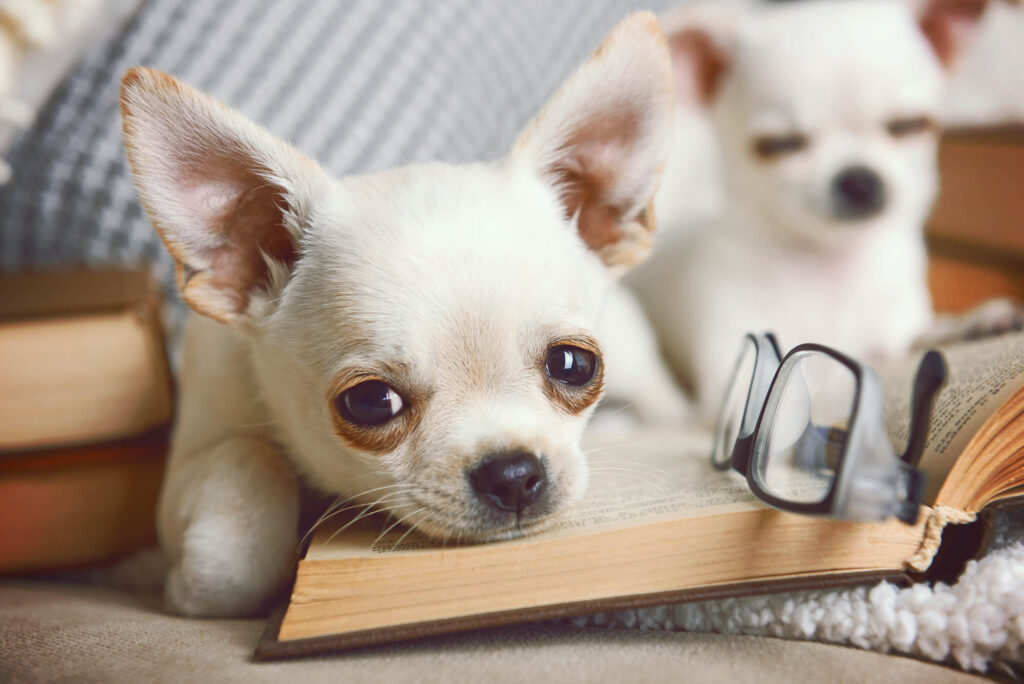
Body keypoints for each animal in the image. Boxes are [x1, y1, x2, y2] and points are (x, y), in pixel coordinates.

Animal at [119, 13, 675, 618]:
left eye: (573, 365)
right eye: (370, 402)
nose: (511, 474)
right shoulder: (186, 460)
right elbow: (252, 462)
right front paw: (188, 579)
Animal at [626, 0, 987, 423]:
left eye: (909, 125)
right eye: (780, 145)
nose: (858, 178)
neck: (827, 264)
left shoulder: (893, 329)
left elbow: (904, 342)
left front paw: (967, 325)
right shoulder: (732, 380)